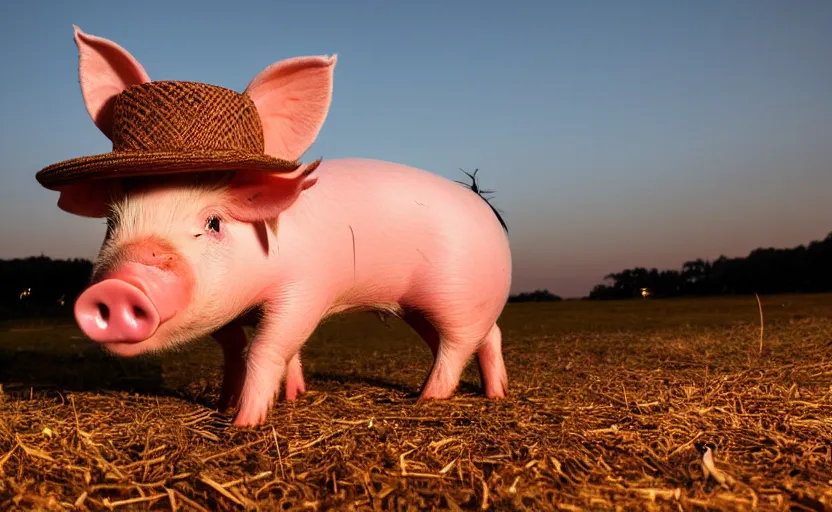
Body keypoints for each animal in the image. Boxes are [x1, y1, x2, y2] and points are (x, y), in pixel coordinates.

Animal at [58, 29, 510, 428]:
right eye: (112, 222)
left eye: (213, 223)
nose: (118, 286)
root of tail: (484, 205)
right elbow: (236, 351)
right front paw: (240, 403)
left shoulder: (307, 288)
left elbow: (266, 349)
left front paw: (244, 423)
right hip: (432, 304)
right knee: (488, 335)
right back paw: (495, 394)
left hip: (456, 296)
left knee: (457, 346)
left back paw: (426, 399)